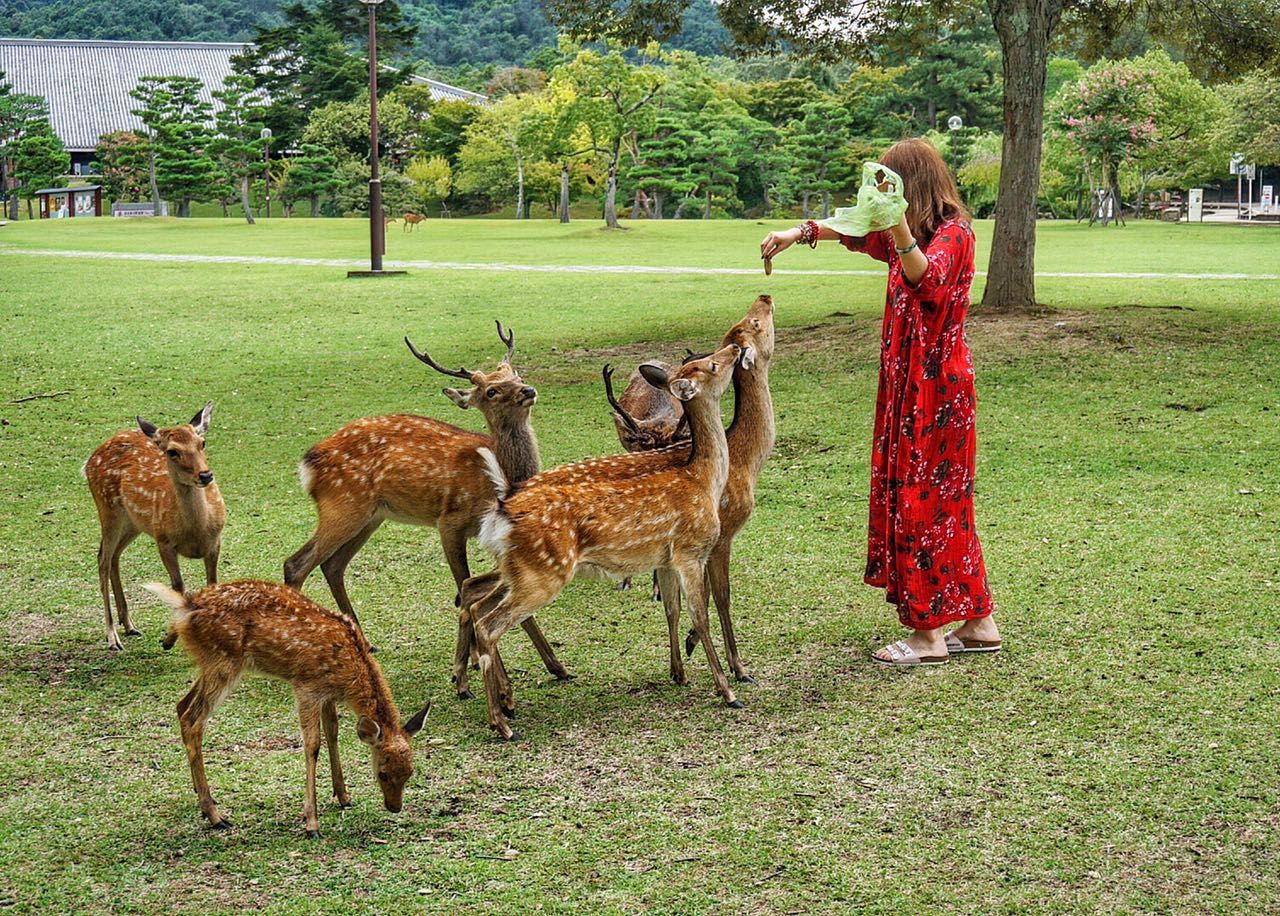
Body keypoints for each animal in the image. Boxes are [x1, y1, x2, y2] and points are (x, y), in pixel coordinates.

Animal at [83, 401, 226, 652]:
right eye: (172, 451)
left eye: (202, 443)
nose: (205, 475)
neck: (196, 532)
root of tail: (89, 460)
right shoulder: (163, 541)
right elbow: (177, 586)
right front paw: (168, 639)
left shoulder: (215, 541)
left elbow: (212, 583)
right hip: (107, 509)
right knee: (102, 558)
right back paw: (113, 637)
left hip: (133, 523)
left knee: (114, 556)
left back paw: (130, 625)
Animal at [140, 580, 430, 839]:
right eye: (382, 773)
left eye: (410, 772)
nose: (394, 807)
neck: (347, 673)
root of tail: (185, 606)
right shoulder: (306, 686)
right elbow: (312, 745)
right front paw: (311, 823)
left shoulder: (327, 694)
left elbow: (333, 732)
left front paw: (343, 795)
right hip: (223, 662)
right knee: (193, 719)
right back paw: (215, 816)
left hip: (209, 663)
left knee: (181, 706)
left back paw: (201, 799)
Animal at [288, 322, 573, 685]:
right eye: (492, 391)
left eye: (516, 374)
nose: (527, 390)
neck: (498, 479)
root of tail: (308, 462)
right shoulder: (449, 521)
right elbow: (465, 589)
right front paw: (470, 670)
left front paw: (555, 666)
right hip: (342, 505)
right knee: (297, 564)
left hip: (370, 516)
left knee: (333, 565)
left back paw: (365, 642)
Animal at [458, 342, 742, 736]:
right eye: (712, 365)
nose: (735, 347)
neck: (703, 479)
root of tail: (503, 506)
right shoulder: (690, 550)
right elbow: (701, 616)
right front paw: (727, 692)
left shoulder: (666, 558)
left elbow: (673, 609)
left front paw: (680, 674)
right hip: (542, 574)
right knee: (489, 623)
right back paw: (502, 722)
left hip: (516, 569)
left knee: (474, 600)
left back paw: (499, 703)